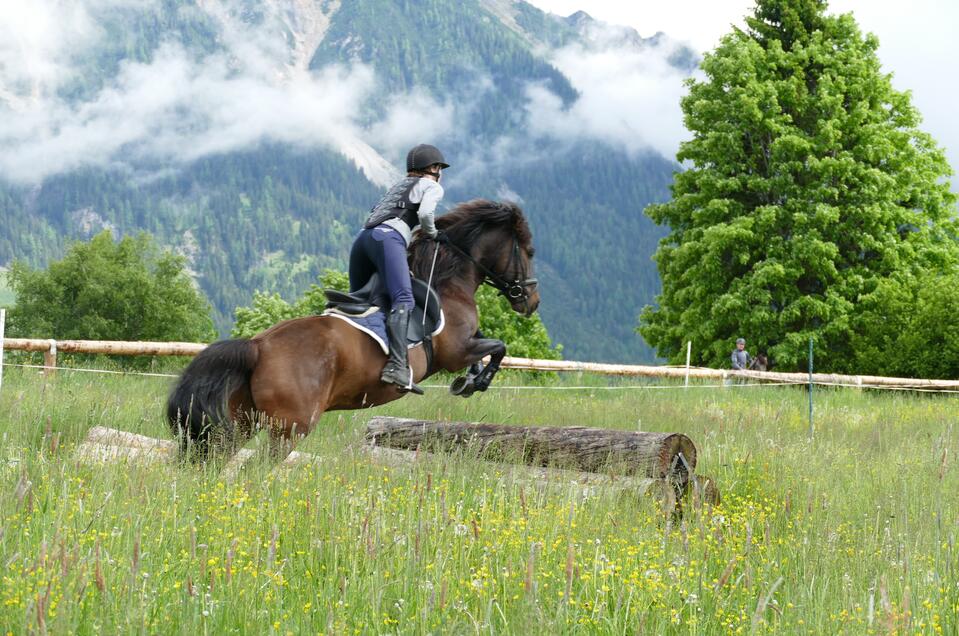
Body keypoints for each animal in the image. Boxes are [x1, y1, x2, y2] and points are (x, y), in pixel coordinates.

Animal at [166, 199, 540, 458]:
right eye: (529, 251)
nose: (531, 301)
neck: (449, 282)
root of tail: (258, 346)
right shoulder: (455, 350)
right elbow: (499, 347)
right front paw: (475, 383)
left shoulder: (466, 346)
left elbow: (490, 347)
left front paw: (470, 379)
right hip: (291, 427)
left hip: (245, 419)